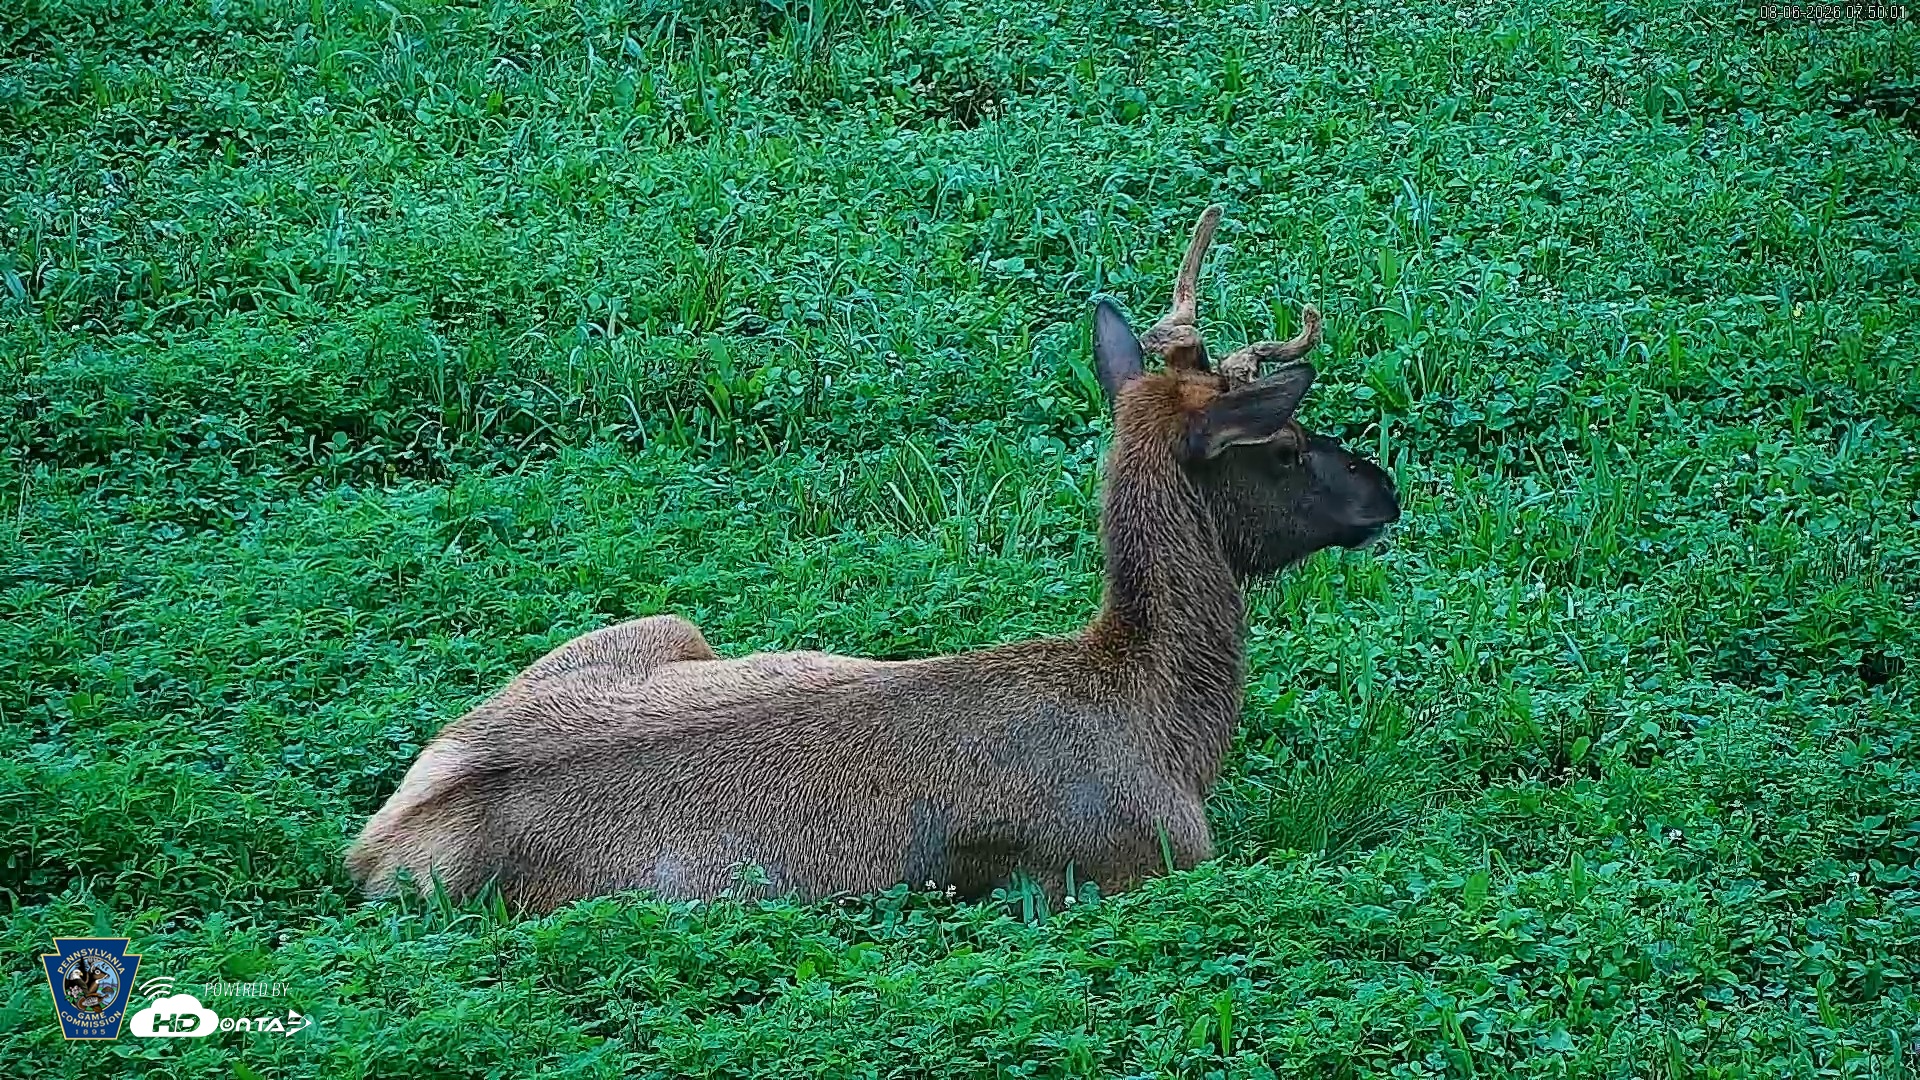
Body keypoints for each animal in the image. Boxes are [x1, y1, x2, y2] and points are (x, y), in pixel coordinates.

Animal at [346, 206, 1402, 914]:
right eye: (1286, 445)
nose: (1384, 487)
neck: (1168, 729)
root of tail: (378, 847)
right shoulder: (1136, 857)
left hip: (659, 625)